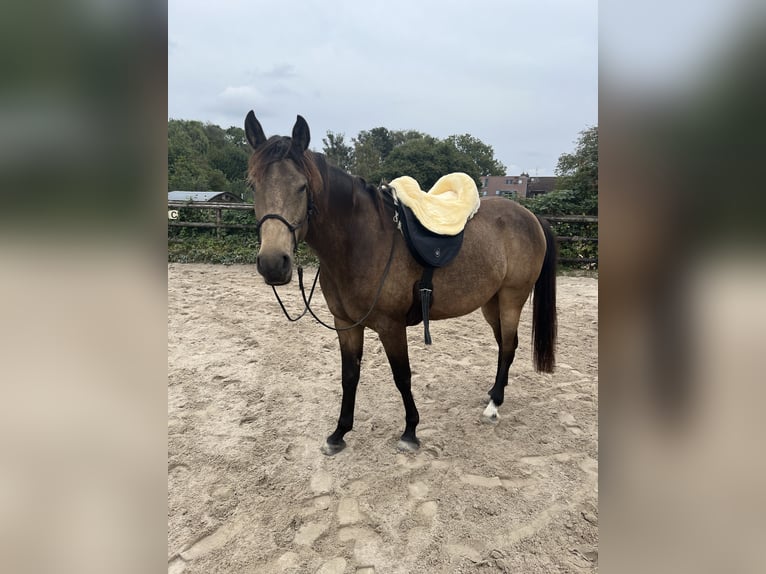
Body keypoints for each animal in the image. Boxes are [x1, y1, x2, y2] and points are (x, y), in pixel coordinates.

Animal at [245, 111, 557, 455]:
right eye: (253, 185)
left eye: (302, 187)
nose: (273, 263)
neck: (362, 241)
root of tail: (531, 217)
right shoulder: (346, 324)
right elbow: (349, 375)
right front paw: (339, 433)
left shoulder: (390, 326)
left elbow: (402, 376)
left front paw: (410, 432)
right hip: (492, 301)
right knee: (504, 344)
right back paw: (492, 393)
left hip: (512, 298)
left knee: (510, 346)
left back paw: (494, 406)